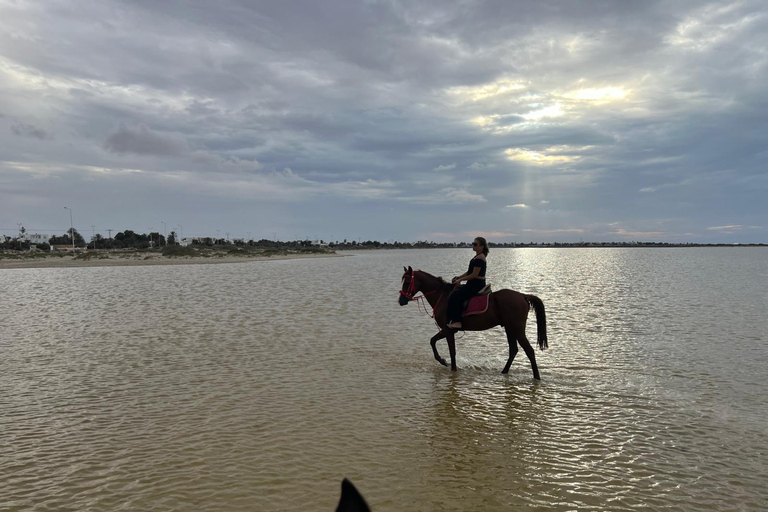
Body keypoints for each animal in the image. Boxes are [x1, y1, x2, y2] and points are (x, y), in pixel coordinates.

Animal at [400, 266, 548, 378]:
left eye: (407, 282)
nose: (401, 301)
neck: (443, 297)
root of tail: (522, 295)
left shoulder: (448, 330)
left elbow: (450, 350)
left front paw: (448, 365)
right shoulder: (448, 330)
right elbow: (433, 341)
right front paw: (443, 361)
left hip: (517, 329)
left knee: (529, 351)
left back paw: (536, 377)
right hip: (509, 328)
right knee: (513, 350)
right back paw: (504, 371)